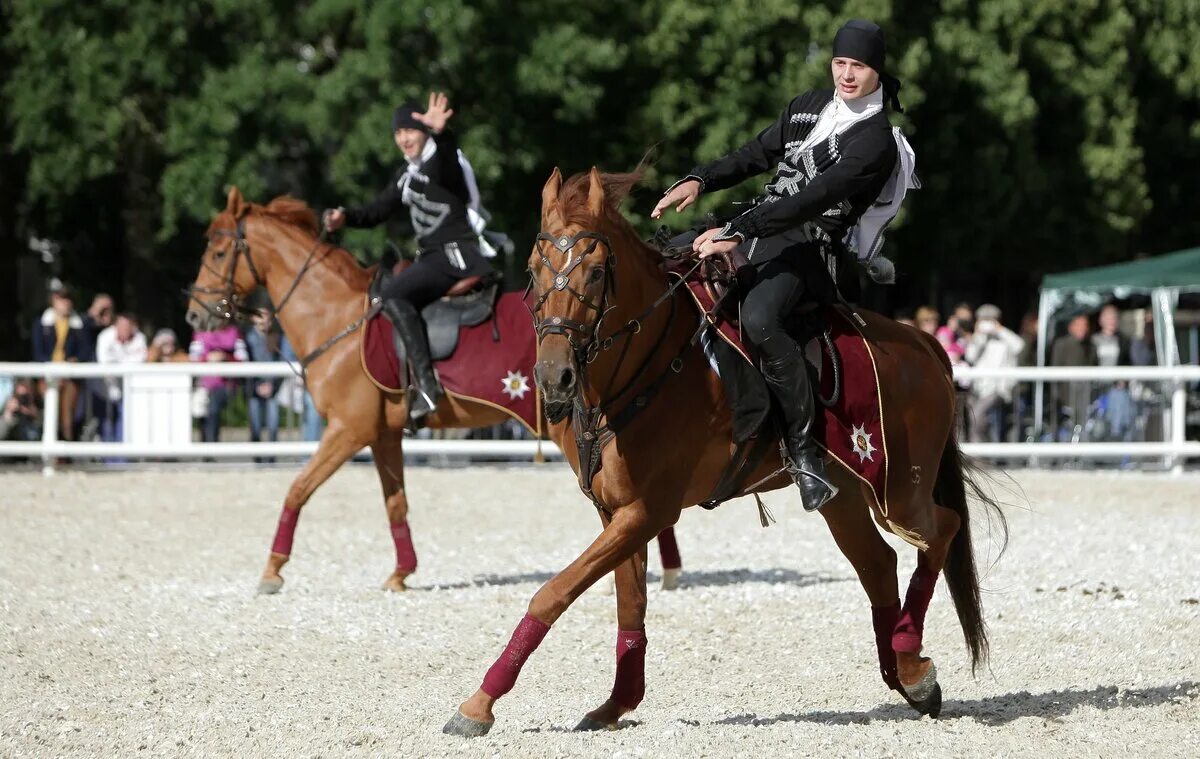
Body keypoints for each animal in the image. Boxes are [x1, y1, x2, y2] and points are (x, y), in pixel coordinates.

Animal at [178, 188, 686, 593]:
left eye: (219, 253)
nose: (195, 315)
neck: (338, 315)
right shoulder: (382, 434)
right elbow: (395, 502)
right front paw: (402, 573)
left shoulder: (348, 430)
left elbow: (297, 489)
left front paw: (272, 569)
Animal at [441, 170, 1003, 734]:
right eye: (533, 272)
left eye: (597, 273)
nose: (553, 376)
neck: (653, 365)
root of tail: (921, 342)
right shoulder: (617, 514)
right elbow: (629, 605)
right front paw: (617, 703)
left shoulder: (648, 512)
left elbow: (553, 592)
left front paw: (478, 704)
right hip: (845, 493)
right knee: (879, 564)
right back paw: (902, 671)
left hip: (899, 489)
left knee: (942, 530)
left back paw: (912, 666)